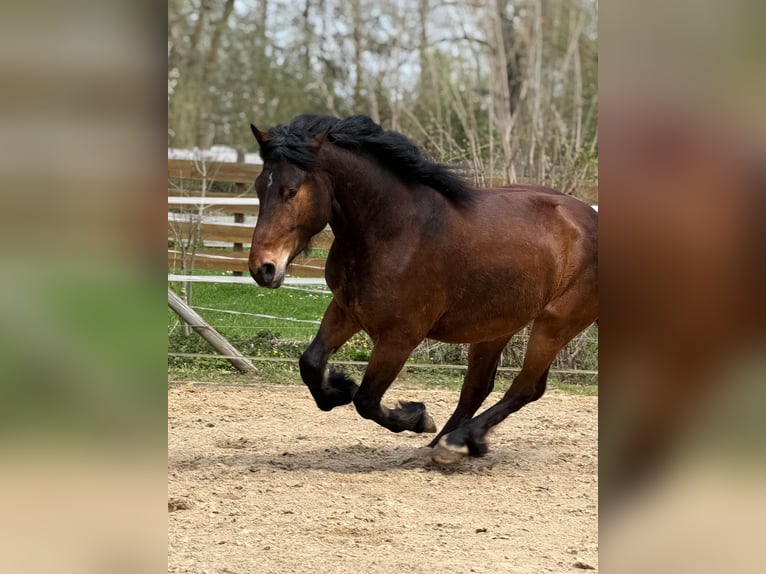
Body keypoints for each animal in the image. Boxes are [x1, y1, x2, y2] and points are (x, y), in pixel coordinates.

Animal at [247, 114, 597, 464]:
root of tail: (591, 217)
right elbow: (311, 364)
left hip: (555, 325)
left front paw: (416, 417)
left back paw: (456, 442)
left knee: (524, 388)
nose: (263, 268)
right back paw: (444, 445)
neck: (394, 230)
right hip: (497, 325)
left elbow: (367, 400)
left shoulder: (400, 336)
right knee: (479, 388)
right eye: (259, 187)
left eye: (291, 191)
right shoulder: (346, 311)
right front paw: (338, 387)